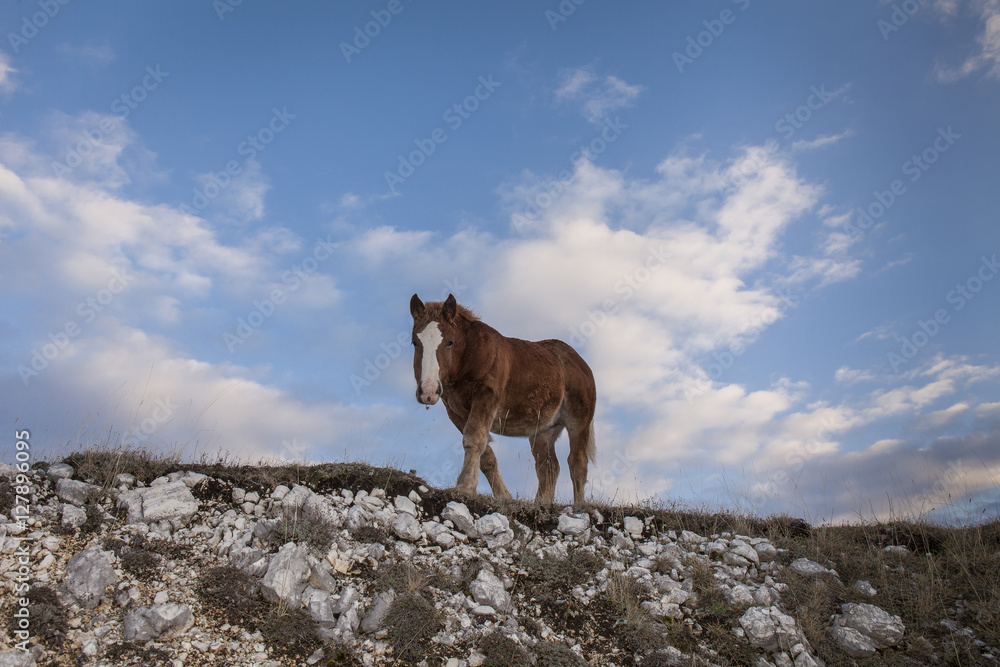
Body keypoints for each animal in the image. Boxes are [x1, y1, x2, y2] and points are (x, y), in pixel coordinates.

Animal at [410, 293, 597, 505]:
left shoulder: (486, 396)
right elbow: (485, 454)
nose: (428, 391)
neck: (471, 355)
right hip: (543, 430)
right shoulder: (455, 411)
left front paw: (465, 487)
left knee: (577, 463)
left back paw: (579, 505)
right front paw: (503, 496)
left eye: (450, 342)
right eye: (415, 342)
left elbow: (474, 438)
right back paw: (541, 504)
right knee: (548, 467)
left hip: (578, 421)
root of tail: (581, 363)